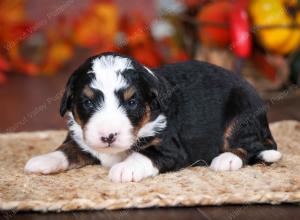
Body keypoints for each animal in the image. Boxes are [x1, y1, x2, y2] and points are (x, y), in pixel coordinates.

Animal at [25, 52, 282, 182]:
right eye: (88, 102)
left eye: (132, 102)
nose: (108, 136)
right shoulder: (81, 138)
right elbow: (67, 149)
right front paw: (44, 160)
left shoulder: (171, 148)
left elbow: (143, 154)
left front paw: (123, 169)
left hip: (241, 114)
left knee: (252, 146)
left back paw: (226, 159)